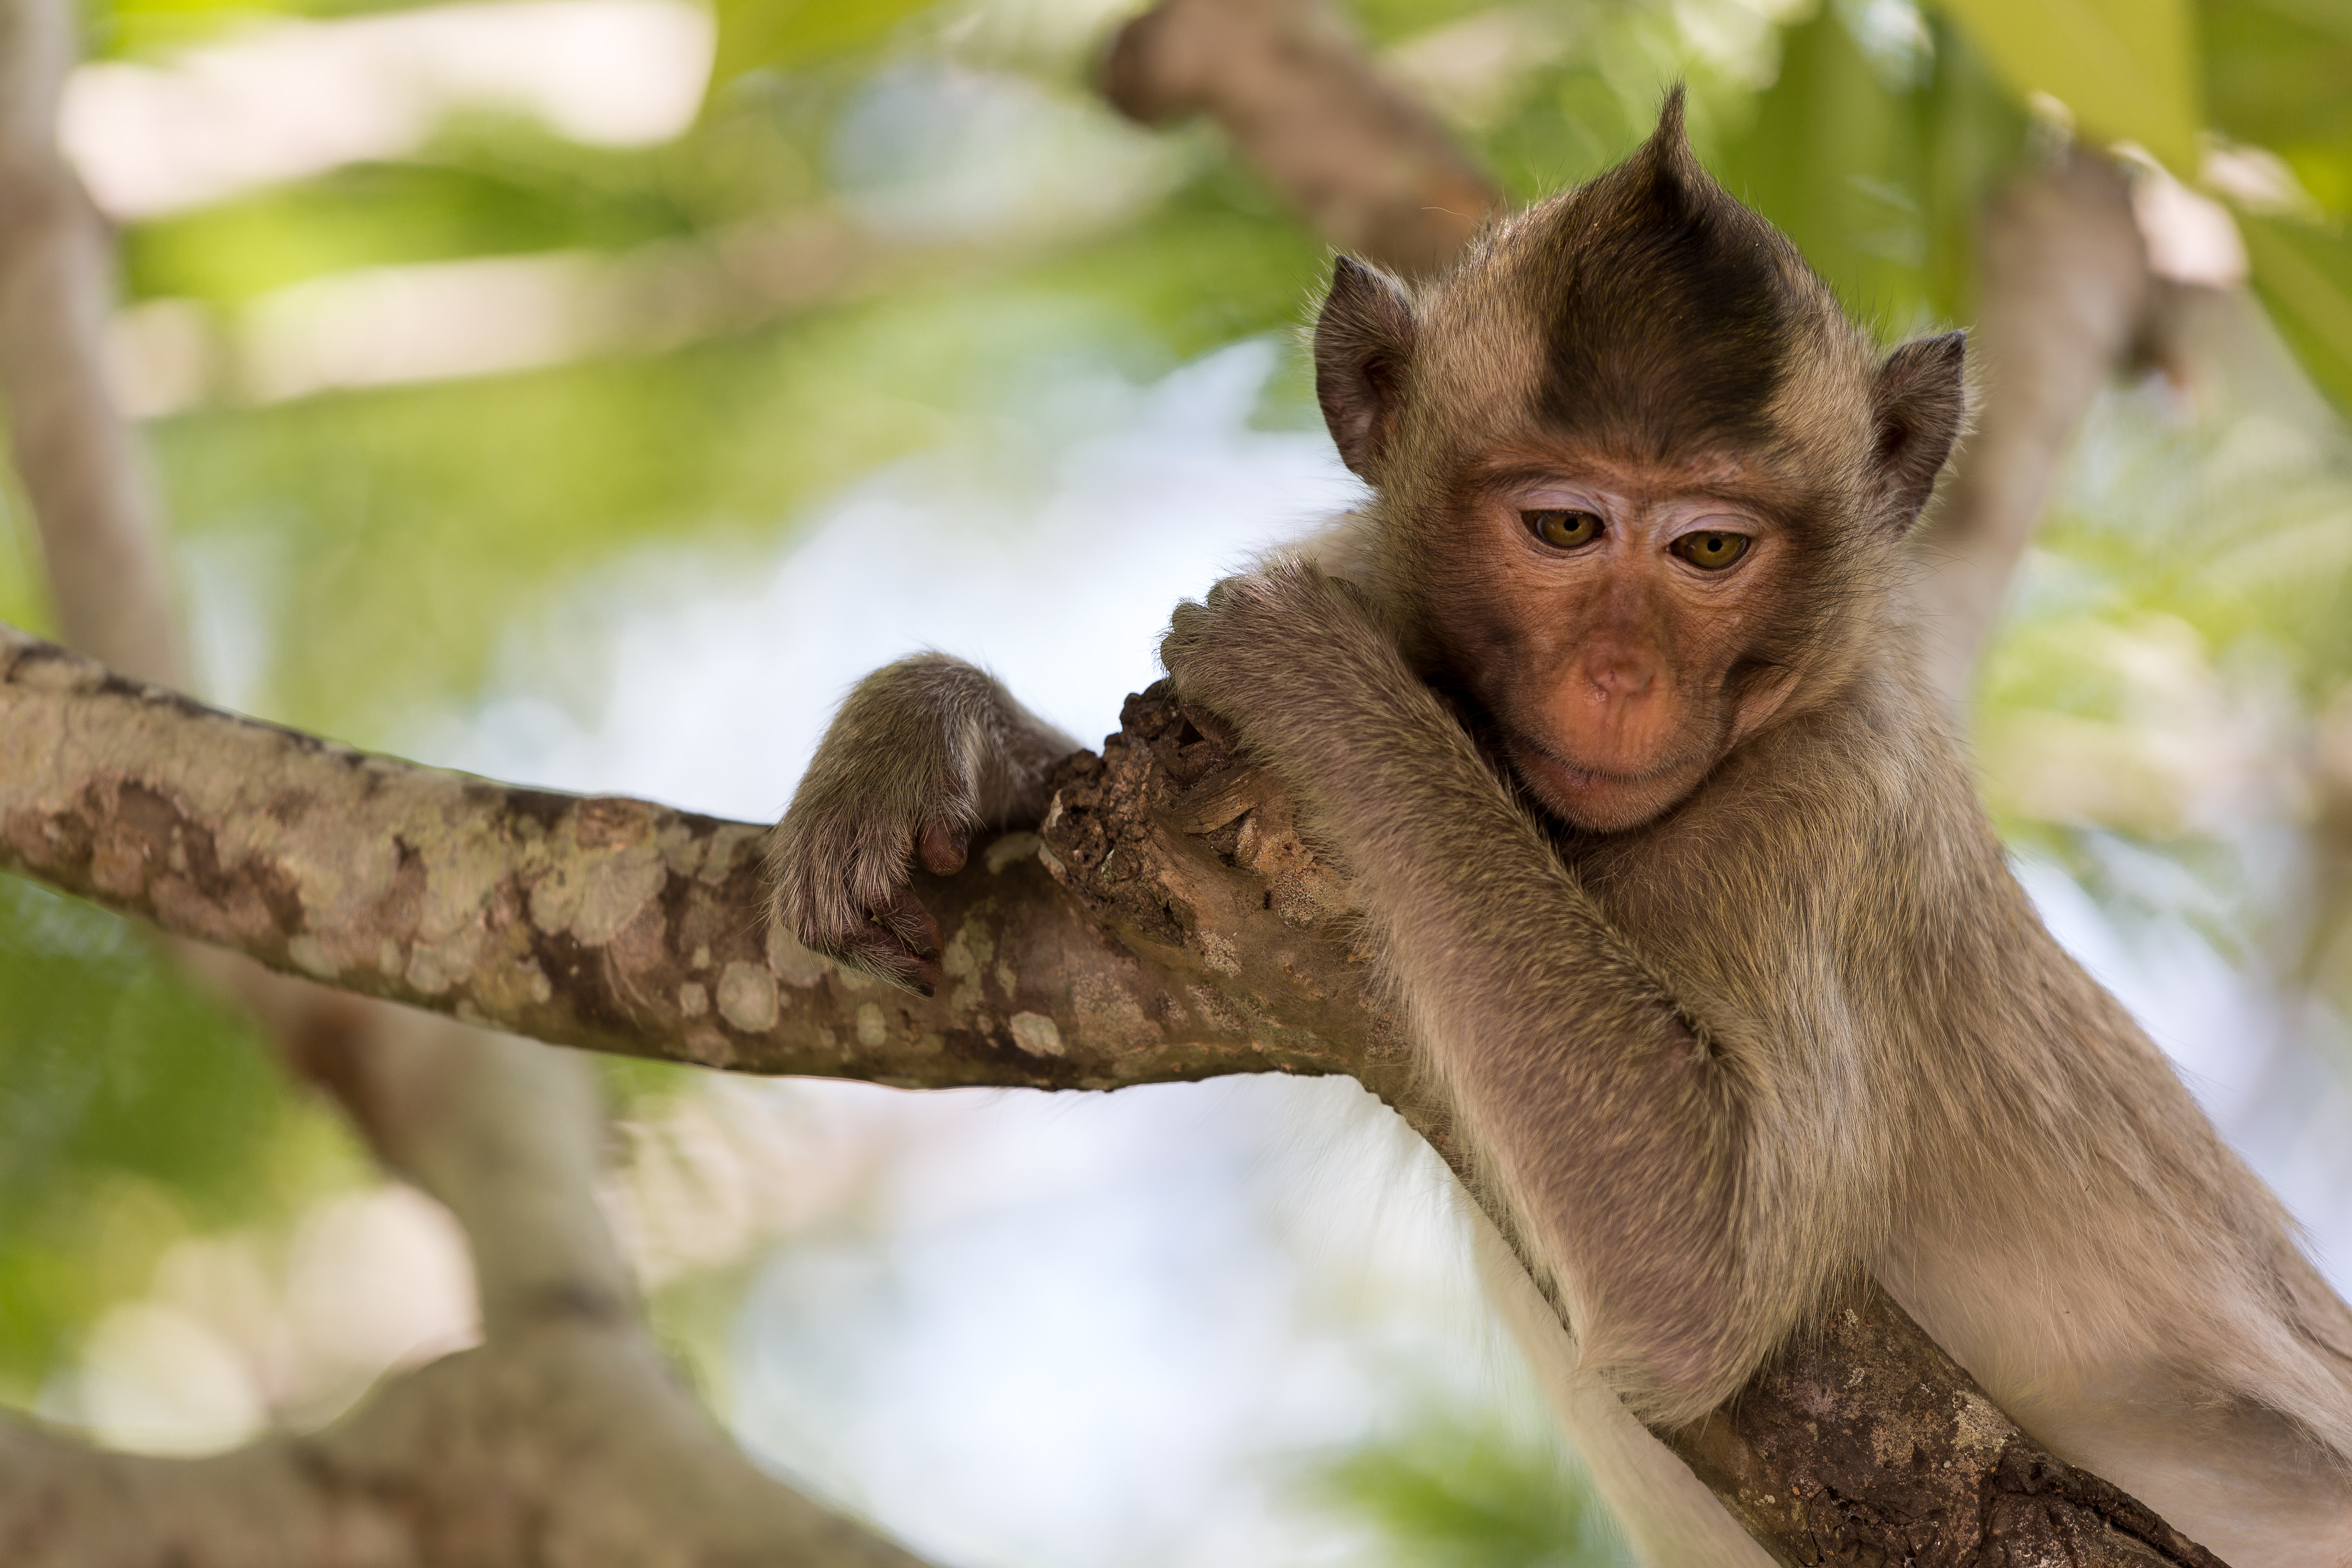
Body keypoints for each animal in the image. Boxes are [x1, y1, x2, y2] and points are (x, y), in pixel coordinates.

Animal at [768, 94, 2352, 1566]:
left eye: (1711, 548)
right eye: (1566, 529)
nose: (1619, 676)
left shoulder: (1834, 807)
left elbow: (1704, 1266)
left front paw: (1328, 690)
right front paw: (922, 740)